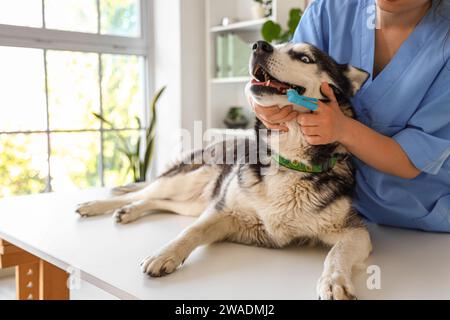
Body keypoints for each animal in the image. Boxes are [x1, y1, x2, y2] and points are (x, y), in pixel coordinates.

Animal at [76, 40, 372, 300]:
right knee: (143, 192)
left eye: (304, 58)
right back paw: (98, 206)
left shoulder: (356, 232)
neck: (287, 160)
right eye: (279, 44)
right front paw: (164, 254)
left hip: (192, 202)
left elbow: (336, 253)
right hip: (187, 183)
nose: (259, 45)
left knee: (156, 200)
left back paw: (129, 211)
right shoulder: (221, 213)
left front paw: (334, 282)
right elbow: (190, 232)